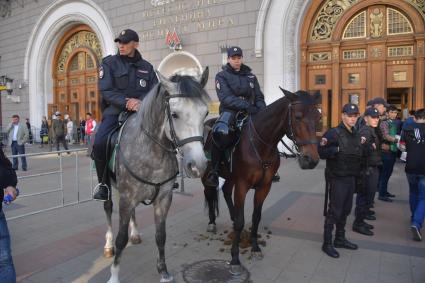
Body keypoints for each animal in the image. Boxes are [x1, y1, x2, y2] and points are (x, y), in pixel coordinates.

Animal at [201, 88, 318, 276]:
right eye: (298, 116)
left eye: (318, 117)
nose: (311, 160)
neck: (260, 144)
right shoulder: (242, 186)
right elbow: (241, 221)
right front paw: (235, 259)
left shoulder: (264, 186)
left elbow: (256, 217)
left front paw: (255, 248)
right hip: (207, 173)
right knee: (209, 192)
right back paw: (212, 222)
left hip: (230, 177)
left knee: (225, 191)